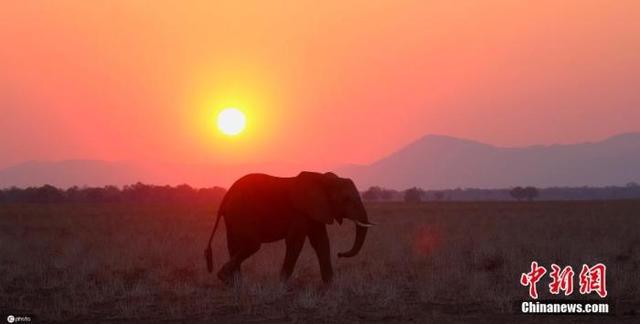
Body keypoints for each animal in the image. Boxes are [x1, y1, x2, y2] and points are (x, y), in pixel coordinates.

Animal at [205, 171, 372, 284]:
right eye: (346, 199)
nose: (340, 254)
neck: (322, 178)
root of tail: (227, 195)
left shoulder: (315, 210)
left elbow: (321, 242)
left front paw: (329, 285)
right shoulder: (300, 211)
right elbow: (295, 242)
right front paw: (282, 284)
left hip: (233, 216)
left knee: (234, 244)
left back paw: (235, 284)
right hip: (241, 212)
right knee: (252, 244)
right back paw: (225, 278)